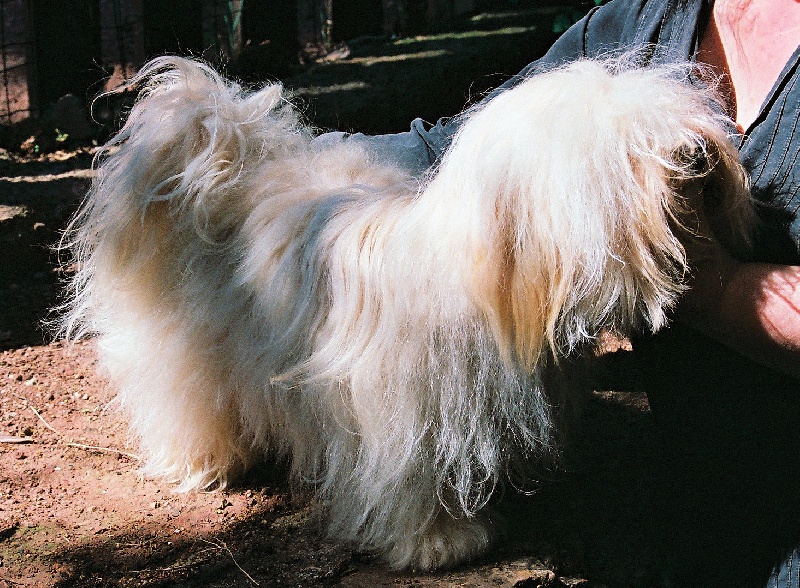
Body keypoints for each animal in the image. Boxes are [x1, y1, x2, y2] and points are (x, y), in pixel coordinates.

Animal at [59, 55, 752, 568]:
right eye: (628, 148)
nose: (698, 152)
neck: (488, 281)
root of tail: (217, 163)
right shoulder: (402, 415)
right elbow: (413, 480)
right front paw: (440, 543)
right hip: (183, 345)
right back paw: (202, 465)